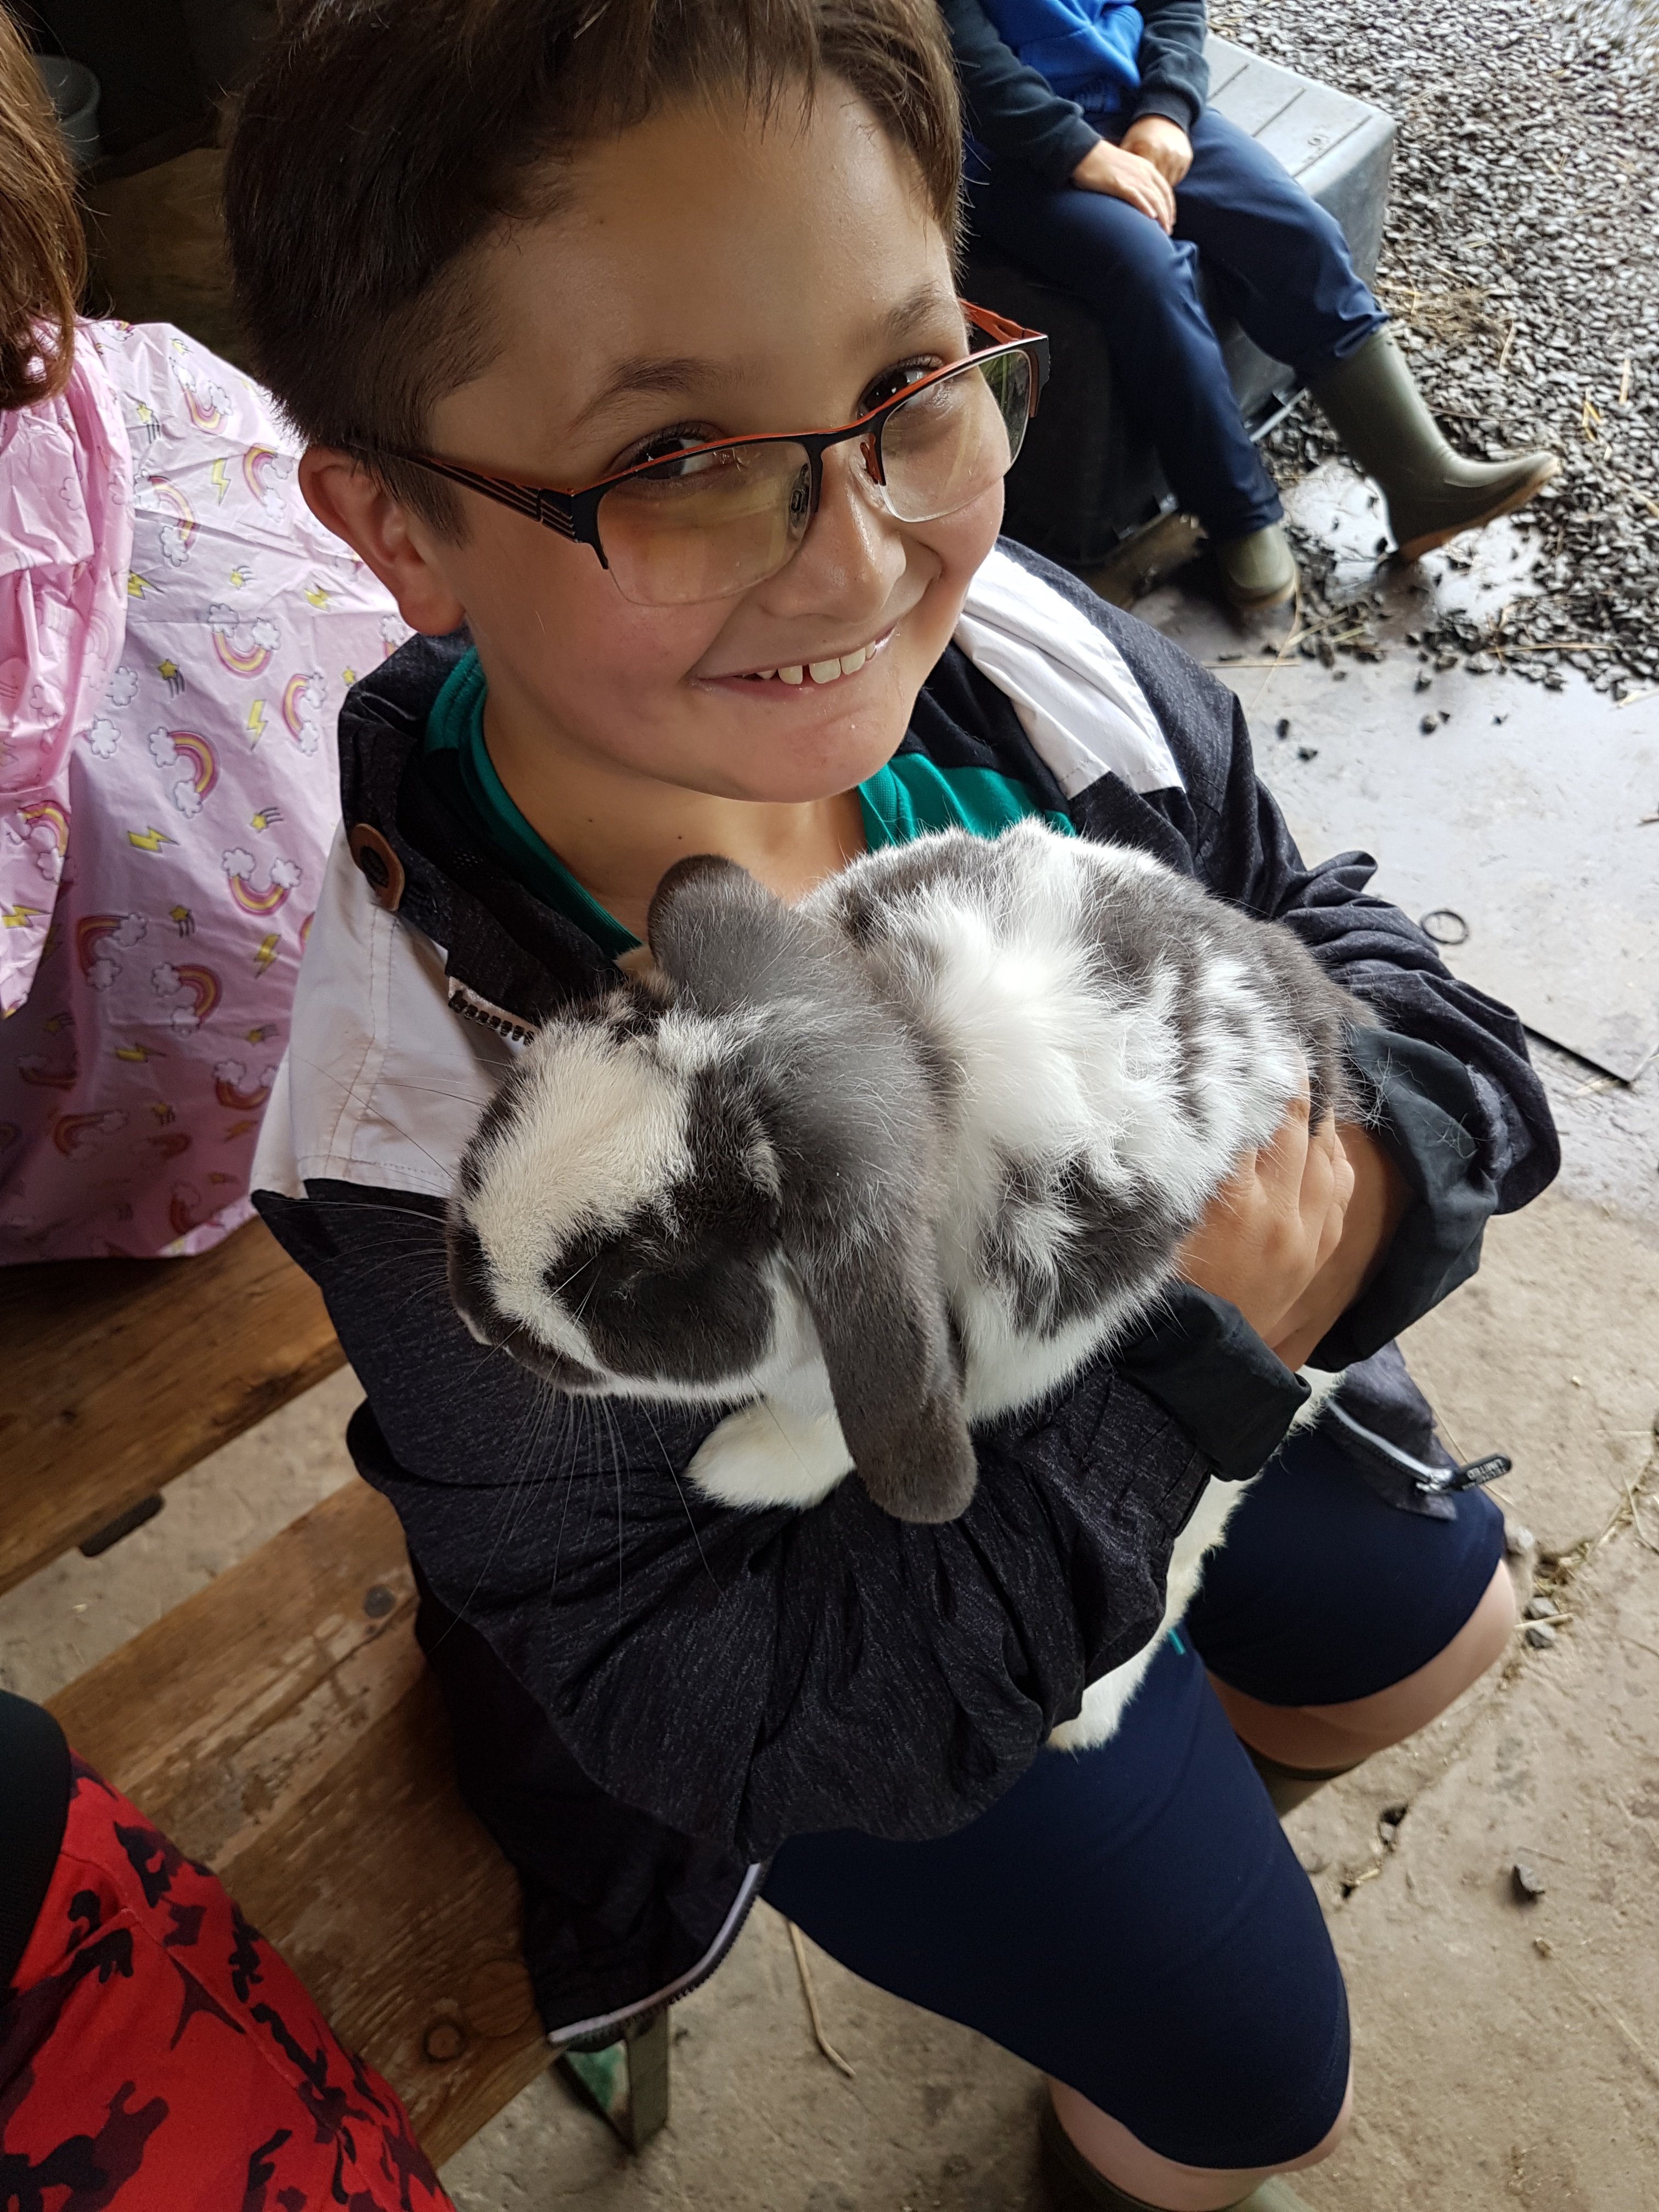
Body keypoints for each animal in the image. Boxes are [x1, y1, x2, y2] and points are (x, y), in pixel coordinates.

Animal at [447, 817, 1366, 1747]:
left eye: (641, 1270)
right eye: (523, 1092)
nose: (476, 1302)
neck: (919, 1045)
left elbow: (836, 1425)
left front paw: (735, 1469)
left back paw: (1089, 1717)